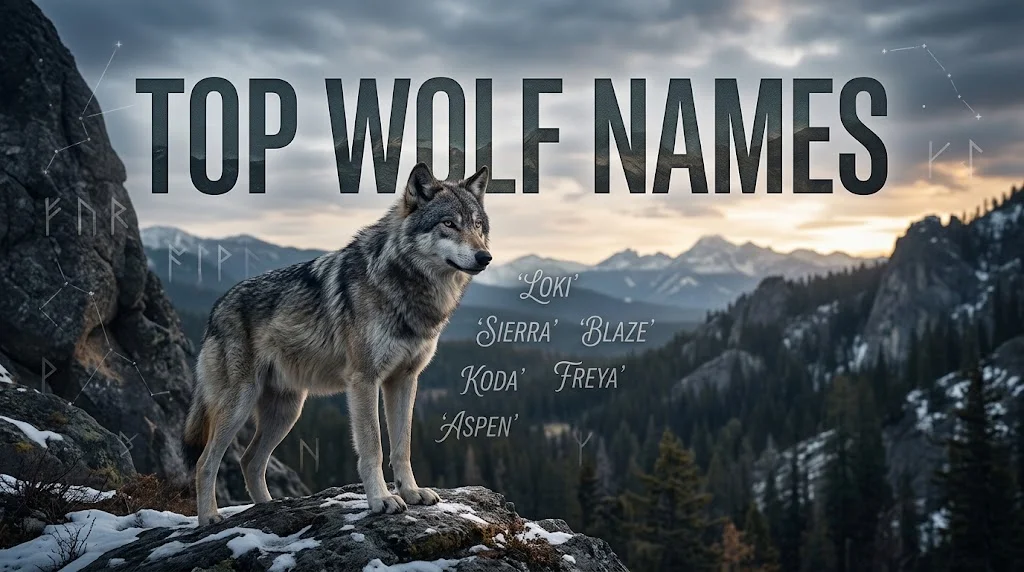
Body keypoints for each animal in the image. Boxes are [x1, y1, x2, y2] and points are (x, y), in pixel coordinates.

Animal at [183, 162, 492, 525]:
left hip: (287, 411)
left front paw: (412, 492)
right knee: (205, 462)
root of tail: (215, 309)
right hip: (239, 405)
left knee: (249, 461)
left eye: (477, 225)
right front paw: (381, 500)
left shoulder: (404, 380)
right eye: (449, 224)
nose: (485, 257)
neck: (405, 287)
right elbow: (373, 446)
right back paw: (209, 518)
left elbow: (402, 446)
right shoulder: (364, 381)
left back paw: (268, 508)